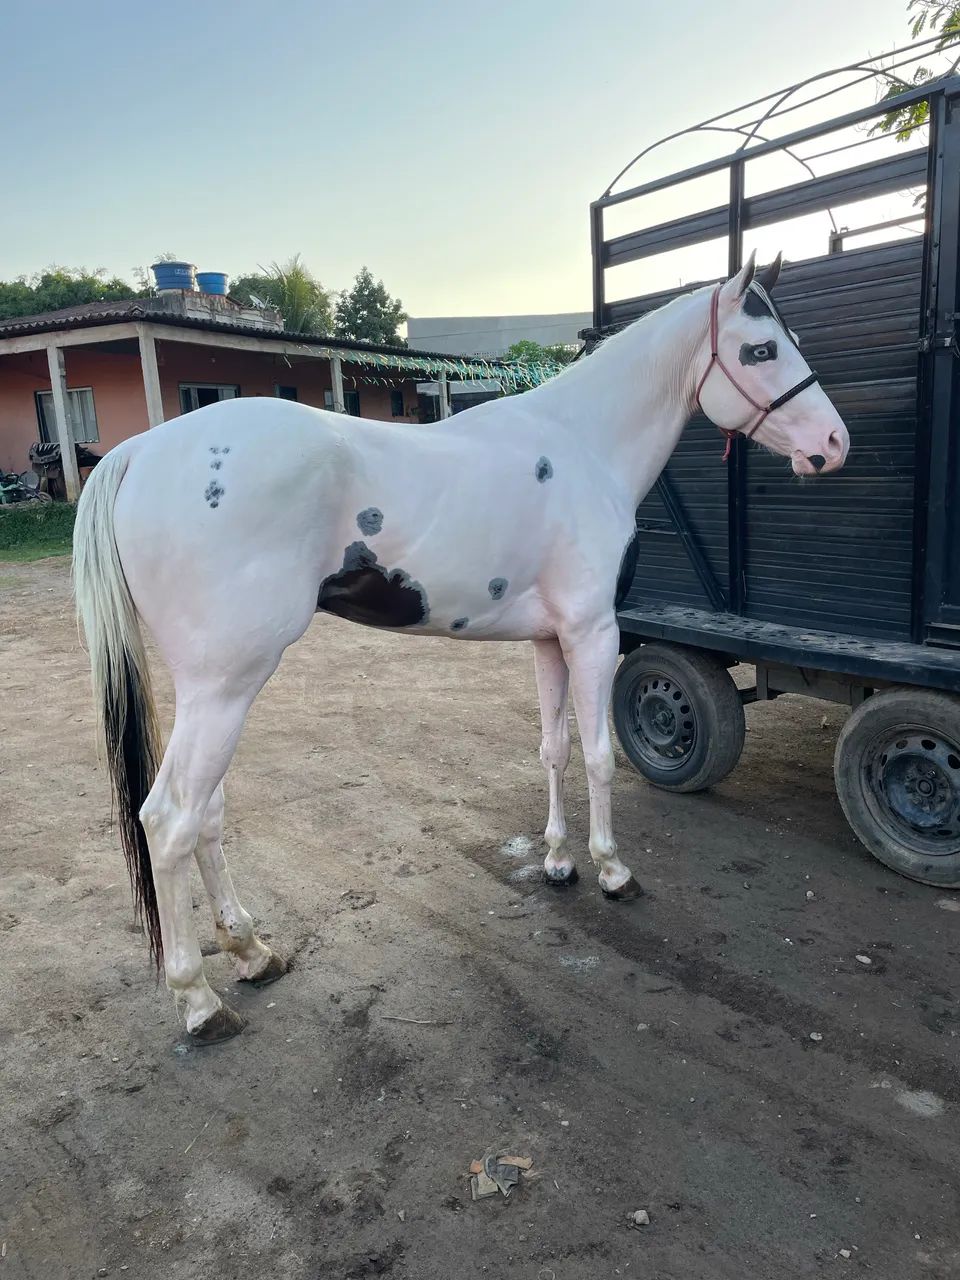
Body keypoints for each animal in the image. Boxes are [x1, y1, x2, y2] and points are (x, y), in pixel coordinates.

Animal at [73, 251, 849, 1043]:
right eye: (762, 349)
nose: (833, 446)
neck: (584, 445)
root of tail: (140, 451)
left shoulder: (550, 640)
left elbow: (554, 749)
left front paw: (559, 861)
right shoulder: (592, 633)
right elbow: (598, 756)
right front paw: (611, 871)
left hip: (213, 690)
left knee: (207, 814)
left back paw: (253, 951)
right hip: (226, 686)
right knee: (169, 821)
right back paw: (199, 1002)